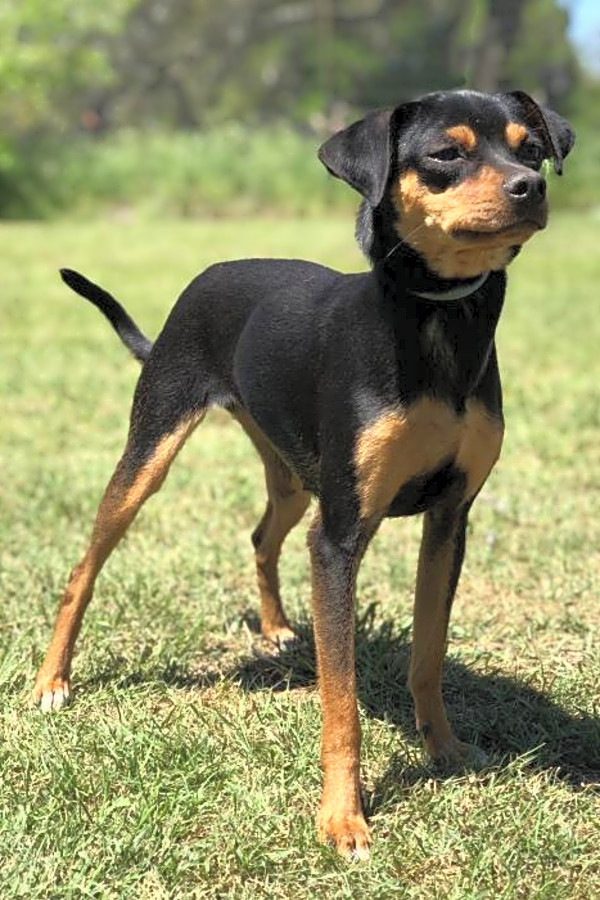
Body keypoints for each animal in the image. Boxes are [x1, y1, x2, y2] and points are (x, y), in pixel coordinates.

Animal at [31, 89, 572, 856]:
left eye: (531, 149)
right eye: (446, 154)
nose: (531, 188)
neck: (435, 324)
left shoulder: (449, 520)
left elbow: (429, 653)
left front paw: (444, 750)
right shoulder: (340, 535)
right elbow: (341, 700)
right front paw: (343, 818)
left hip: (294, 478)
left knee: (261, 535)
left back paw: (279, 628)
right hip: (152, 452)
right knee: (85, 567)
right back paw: (52, 681)